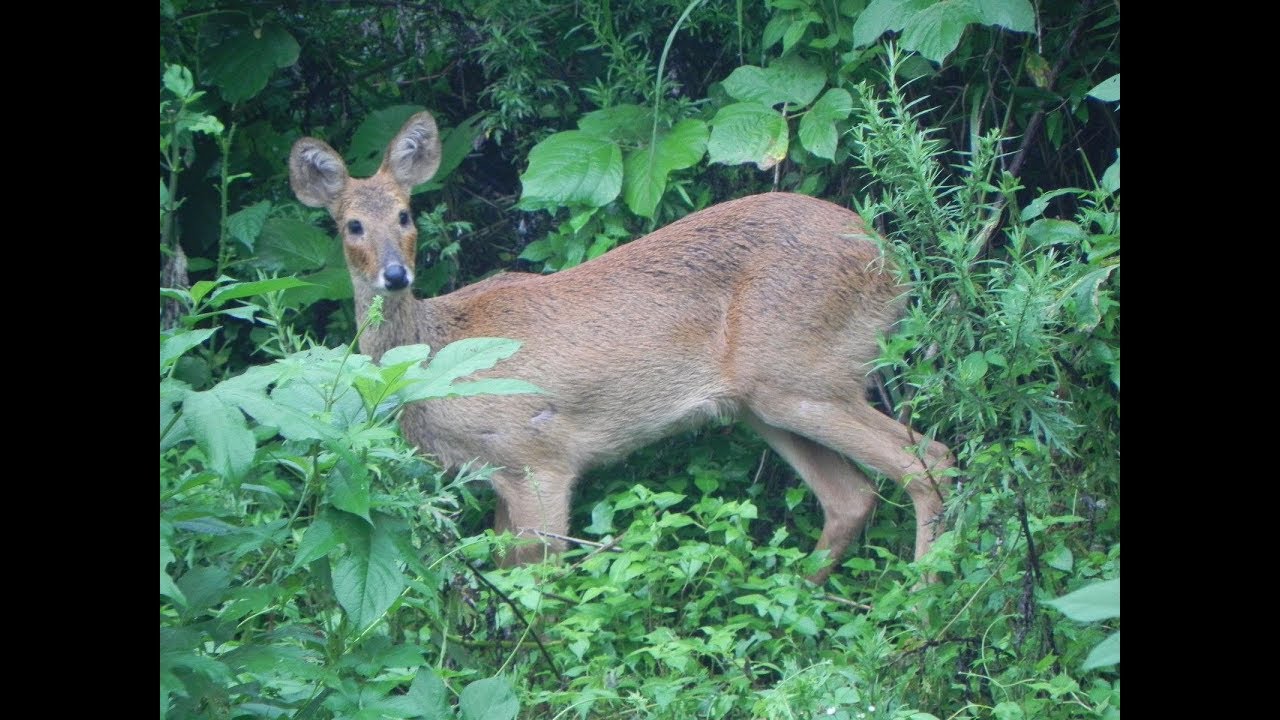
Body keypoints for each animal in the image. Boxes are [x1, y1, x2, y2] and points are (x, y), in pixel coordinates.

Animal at [290, 112, 952, 584]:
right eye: (351, 225)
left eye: (406, 214)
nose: (395, 274)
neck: (434, 350)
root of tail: (894, 266)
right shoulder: (497, 476)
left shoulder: (538, 458)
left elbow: (538, 594)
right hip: (766, 401)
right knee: (853, 498)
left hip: (805, 375)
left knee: (930, 461)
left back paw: (920, 607)